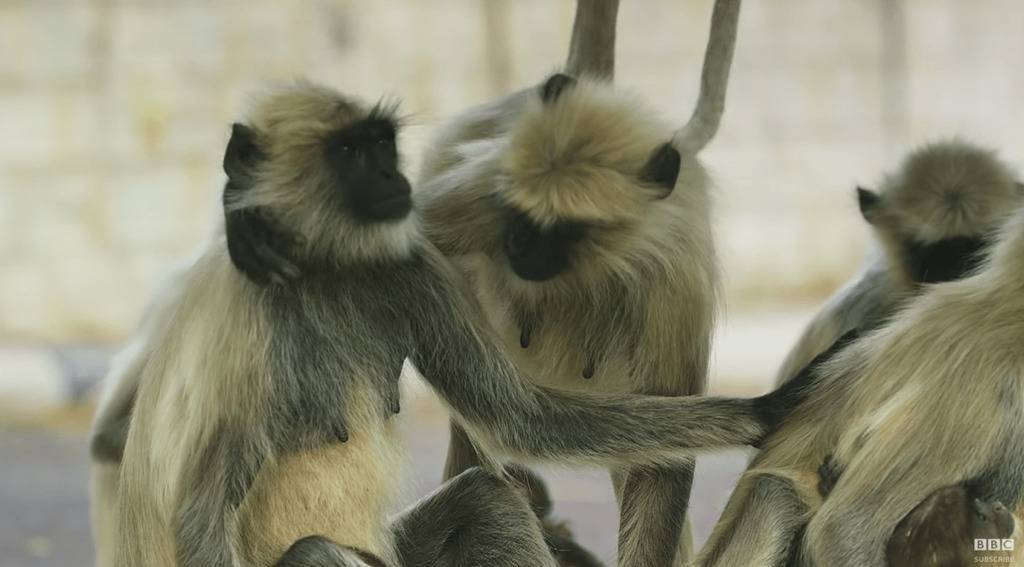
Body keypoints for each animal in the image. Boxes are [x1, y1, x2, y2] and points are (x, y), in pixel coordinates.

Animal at [112, 80, 811, 564]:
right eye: (350, 152)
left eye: (382, 146)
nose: (392, 175)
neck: (326, 273)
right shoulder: (253, 335)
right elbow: (200, 512)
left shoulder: (411, 267)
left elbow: (523, 420)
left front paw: (773, 407)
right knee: (314, 550)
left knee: (488, 498)